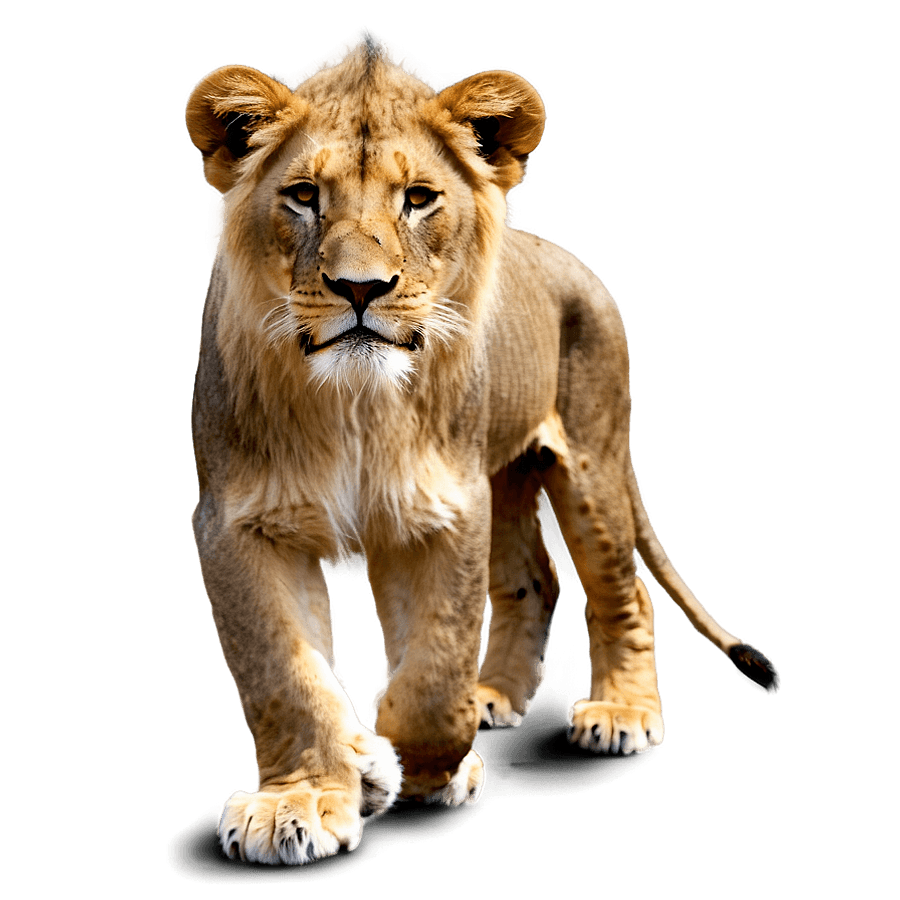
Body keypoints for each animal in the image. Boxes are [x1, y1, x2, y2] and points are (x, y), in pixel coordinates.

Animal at [184, 27, 780, 866]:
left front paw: (421, 770)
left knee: (620, 589)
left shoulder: (443, 509)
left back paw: (620, 713)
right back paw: (495, 696)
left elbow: (433, 675)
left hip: (588, 465)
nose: (360, 288)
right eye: (303, 195)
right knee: (533, 580)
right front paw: (308, 796)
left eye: (418, 198)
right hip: (503, 481)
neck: (353, 404)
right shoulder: (241, 522)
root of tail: (573, 262)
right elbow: (285, 675)